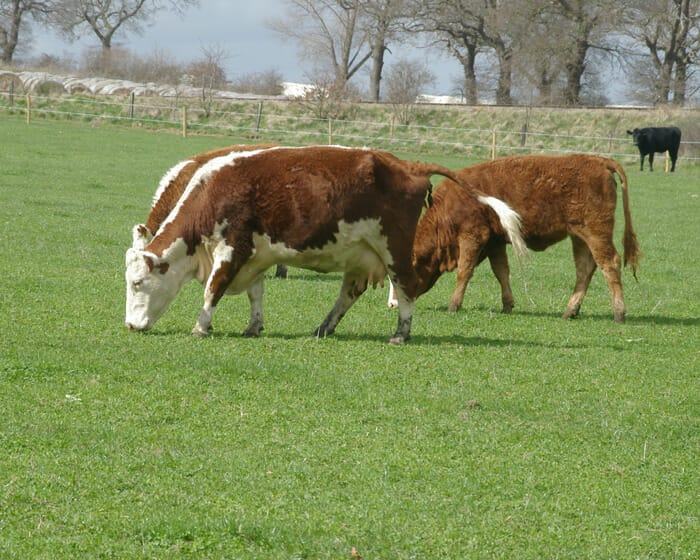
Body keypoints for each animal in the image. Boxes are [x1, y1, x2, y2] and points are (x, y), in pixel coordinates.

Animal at [125, 146, 527, 344]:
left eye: (138, 283)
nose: (130, 325)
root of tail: (407, 165)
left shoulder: (231, 249)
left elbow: (213, 290)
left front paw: (200, 327)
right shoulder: (254, 255)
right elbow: (256, 293)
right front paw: (253, 326)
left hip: (393, 248)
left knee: (406, 288)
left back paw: (401, 333)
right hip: (361, 252)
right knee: (350, 292)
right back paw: (324, 327)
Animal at [388, 154, 640, 323]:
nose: (393, 304)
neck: (447, 208)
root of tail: (599, 160)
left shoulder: (473, 236)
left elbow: (464, 271)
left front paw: (454, 304)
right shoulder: (495, 242)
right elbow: (501, 272)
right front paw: (507, 304)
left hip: (597, 233)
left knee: (610, 264)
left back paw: (619, 313)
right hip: (579, 237)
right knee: (585, 269)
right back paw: (570, 311)